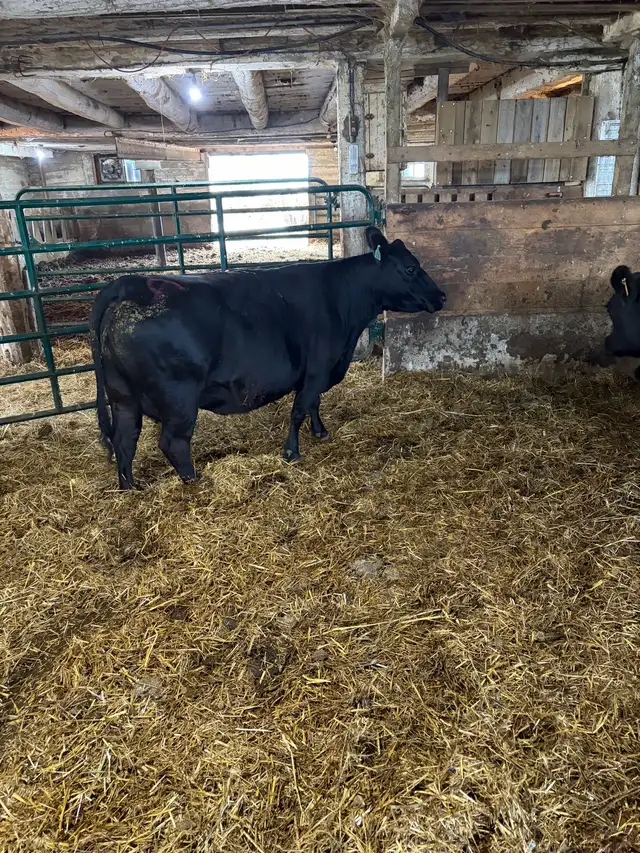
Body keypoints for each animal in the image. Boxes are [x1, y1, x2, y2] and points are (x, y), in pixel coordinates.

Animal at [89, 226, 446, 489]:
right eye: (411, 268)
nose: (441, 296)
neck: (341, 300)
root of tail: (134, 284)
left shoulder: (314, 373)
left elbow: (313, 404)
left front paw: (320, 432)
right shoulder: (317, 369)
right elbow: (299, 409)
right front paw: (291, 452)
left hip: (122, 396)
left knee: (125, 440)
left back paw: (130, 487)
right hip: (178, 397)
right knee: (173, 442)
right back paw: (195, 482)